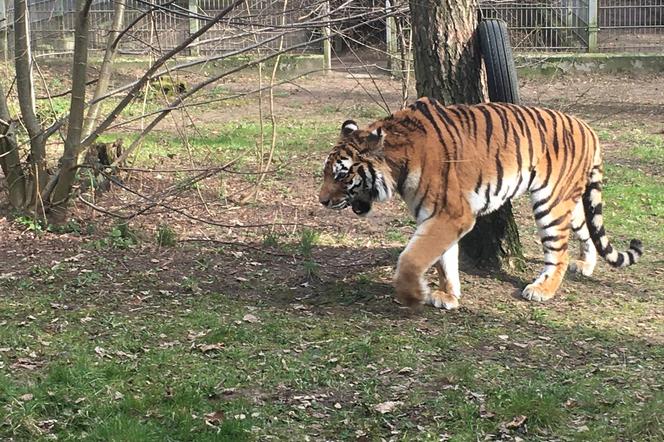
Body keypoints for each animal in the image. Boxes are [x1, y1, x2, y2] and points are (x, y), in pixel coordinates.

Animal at [320, 98, 640, 310]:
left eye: (341, 174)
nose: (322, 200)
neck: (399, 161)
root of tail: (588, 128)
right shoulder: (436, 216)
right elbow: (444, 260)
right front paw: (448, 295)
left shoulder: (451, 214)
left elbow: (412, 258)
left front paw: (413, 296)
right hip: (568, 201)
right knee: (585, 228)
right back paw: (585, 266)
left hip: (551, 202)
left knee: (558, 252)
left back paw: (542, 289)